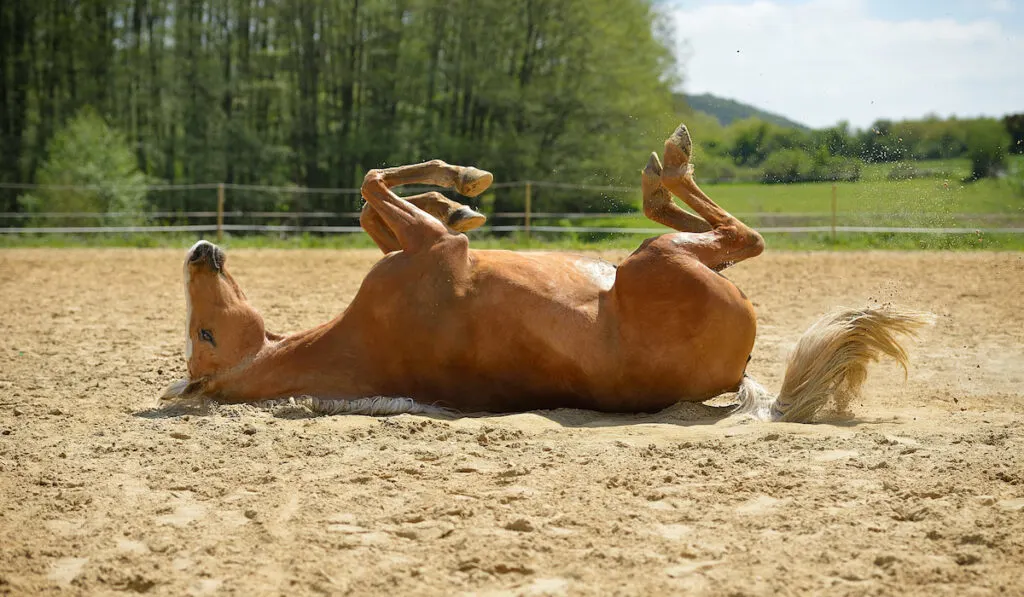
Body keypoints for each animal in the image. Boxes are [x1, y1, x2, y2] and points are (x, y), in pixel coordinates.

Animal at [161, 123, 929, 421]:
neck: (355, 340)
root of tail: (737, 373)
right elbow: (373, 182)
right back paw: (667, 167)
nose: (199, 252)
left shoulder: (414, 246)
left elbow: (371, 207)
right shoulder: (429, 253)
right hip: (660, 260)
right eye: (204, 335)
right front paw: (463, 185)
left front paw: (457, 198)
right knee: (742, 235)